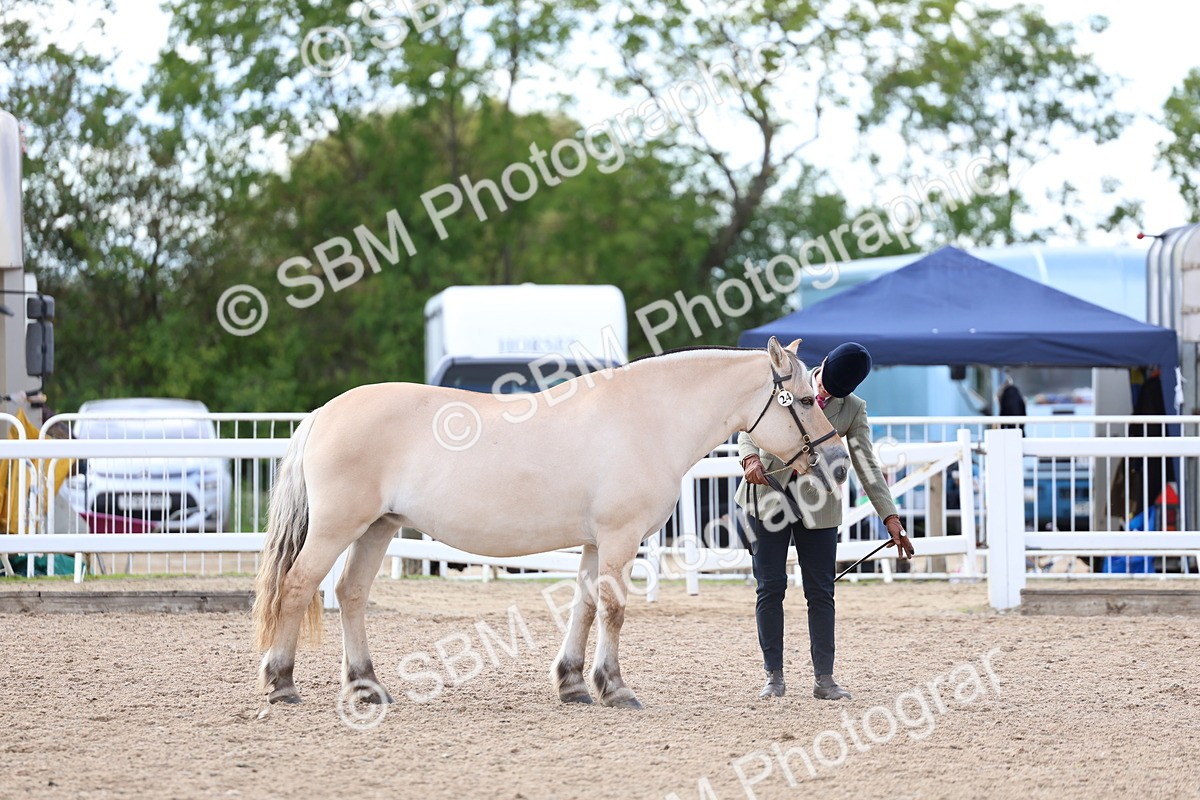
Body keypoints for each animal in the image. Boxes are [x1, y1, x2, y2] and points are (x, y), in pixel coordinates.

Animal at [252, 336, 849, 709]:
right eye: (802, 399)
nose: (838, 463)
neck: (648, 417)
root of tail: (324, 413)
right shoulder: (619, 539)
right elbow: (612, 611)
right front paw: (615, 688)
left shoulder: (595, 543)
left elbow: (583, 607)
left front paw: (573, 685)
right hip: (337, 529)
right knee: (298, 587)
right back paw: (281, 683)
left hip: (378, 527)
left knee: (350, 594)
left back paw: (366, 686)